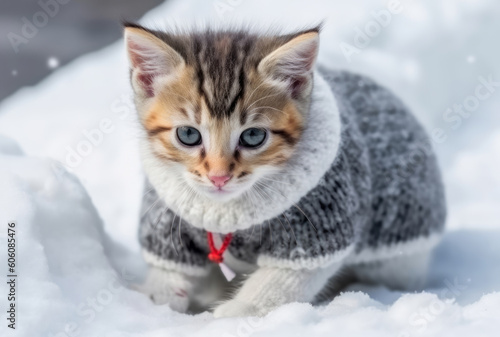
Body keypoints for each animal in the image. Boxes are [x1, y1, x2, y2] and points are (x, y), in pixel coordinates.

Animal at [124, 22, 446, 316]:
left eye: (253, 136)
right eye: (188, 134)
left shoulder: (319, 226)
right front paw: (155, 299)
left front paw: (239, 311)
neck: (227, 211)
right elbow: (171, 268)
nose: (219, 177)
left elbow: (285, 279)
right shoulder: (165, 217)